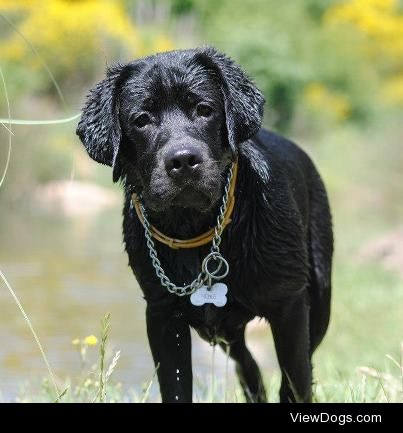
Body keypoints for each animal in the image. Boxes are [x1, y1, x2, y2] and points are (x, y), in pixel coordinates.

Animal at [77, 47, 332, 402]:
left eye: (204, 109)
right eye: (141, 120)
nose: (183, 160)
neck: (196, 230)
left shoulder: (290, 304)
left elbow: (295, 379)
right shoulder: (162, 314)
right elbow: (176, 385)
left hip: (319, 298)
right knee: (246, 363)